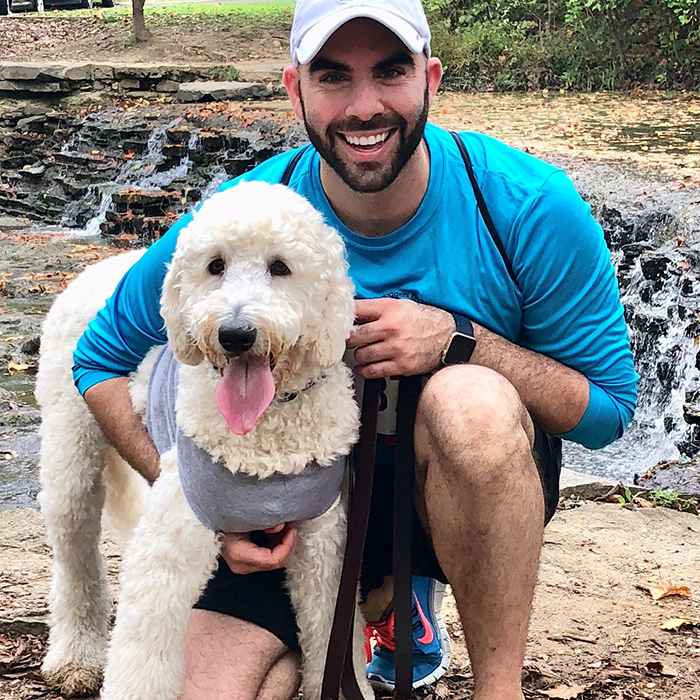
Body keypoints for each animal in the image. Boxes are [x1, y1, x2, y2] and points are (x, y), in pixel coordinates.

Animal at [35, 182, 374, 700]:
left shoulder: (325, 545)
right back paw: (75, 657)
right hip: (70, 454)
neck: (267, 430)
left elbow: (333, 637)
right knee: (75, 562)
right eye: (215, 265)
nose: (236, 334)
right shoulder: (172, 541)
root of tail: (98, 266)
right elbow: (143, 654)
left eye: (280, 266)